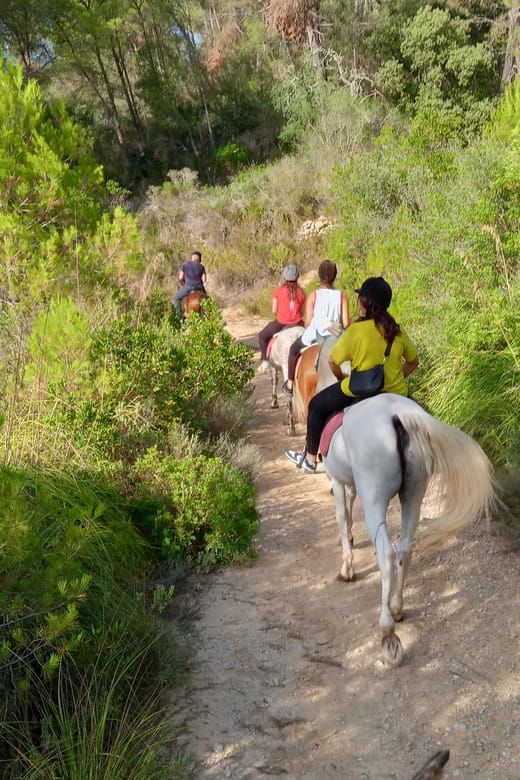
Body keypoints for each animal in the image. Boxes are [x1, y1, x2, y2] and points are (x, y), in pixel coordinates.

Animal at [321, 392, 496, 667]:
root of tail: (397, 412)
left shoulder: (337, 481)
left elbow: (341, 515)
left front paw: (347, 567)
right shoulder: (347, 483)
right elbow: (347, 508)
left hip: (375, 501)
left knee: (386, 553)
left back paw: (388, 633)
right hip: (413, 495)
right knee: (405, 549)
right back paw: (397, 608)